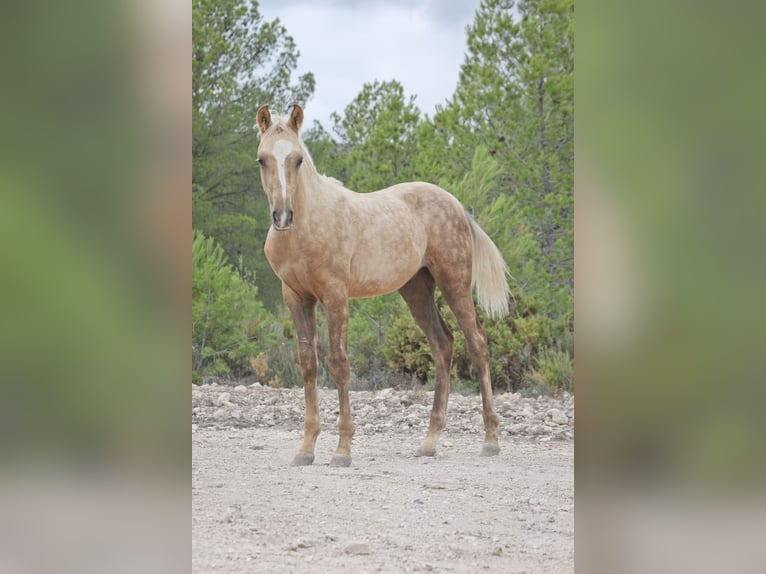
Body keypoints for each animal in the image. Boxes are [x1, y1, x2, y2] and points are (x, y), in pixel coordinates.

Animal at [256, 106, 510, 470]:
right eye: (262, 159)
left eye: (298, 159)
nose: (282, 216)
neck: (306, 227)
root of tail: (458, 206)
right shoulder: (296, 297)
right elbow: (308, 364)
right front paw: (305, 448)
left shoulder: (335, 295)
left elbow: (339, 363)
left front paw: (342, 450)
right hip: (416, 290)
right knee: (443, 344)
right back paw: (429, 441)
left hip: (455, 283)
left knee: (477, 343)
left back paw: (490, 440)